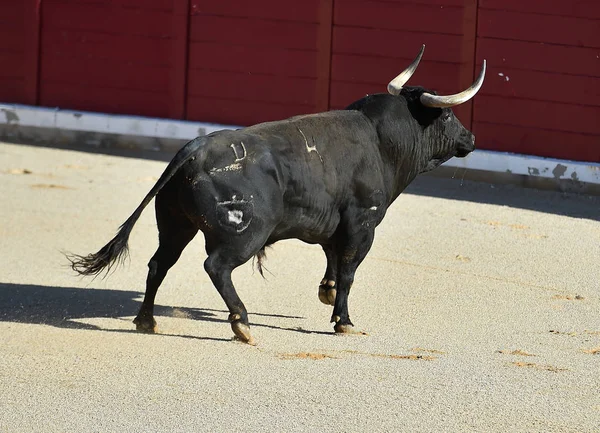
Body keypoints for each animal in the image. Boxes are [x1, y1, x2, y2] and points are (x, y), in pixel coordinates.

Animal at [68, 47, 486, 344]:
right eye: (448, 116)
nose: (471, 138)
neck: (382, 140)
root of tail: (195, 147)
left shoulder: (332, 222)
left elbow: (332, 260)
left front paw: (327, 294)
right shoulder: (362, 224)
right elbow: (349, 270)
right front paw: (344, 321)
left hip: (175, 225)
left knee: (159, 264)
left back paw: (146, 321)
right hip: (245, 233)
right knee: (216, 266)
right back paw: (242, 324)